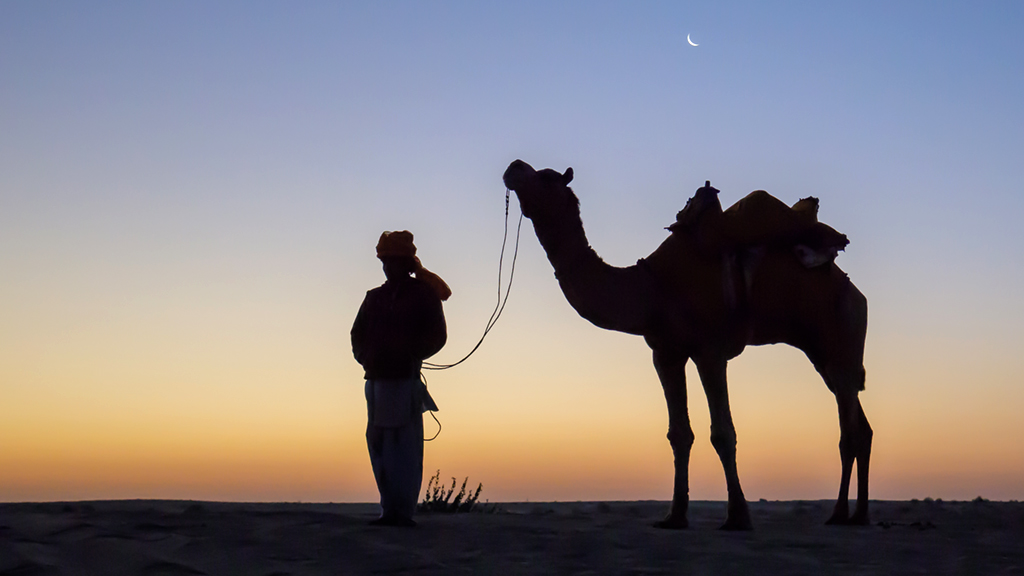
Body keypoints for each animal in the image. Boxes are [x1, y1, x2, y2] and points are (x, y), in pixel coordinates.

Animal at [503, 158, 872, 528]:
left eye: (547, 178)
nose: (514, 166)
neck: (652, 288)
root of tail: (856, 291)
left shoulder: (710, 351)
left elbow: (722, 433)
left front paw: (737, 516)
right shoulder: (666, 353)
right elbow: (679, 434)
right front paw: (674, 515)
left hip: (843, 335)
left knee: (849, 431)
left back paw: (839, 514)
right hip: (822, 354)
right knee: (861, 425)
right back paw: (859, 515)